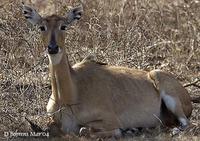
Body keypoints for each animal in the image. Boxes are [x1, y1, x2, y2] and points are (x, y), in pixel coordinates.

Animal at [21, 4, 192, 138]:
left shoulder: (110, 120)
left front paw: (126, 131)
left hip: (167, 91)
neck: (69, 94)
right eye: (42, 27)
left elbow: (86, 130)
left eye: (64, 26)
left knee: (186, 123)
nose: (53, 48)